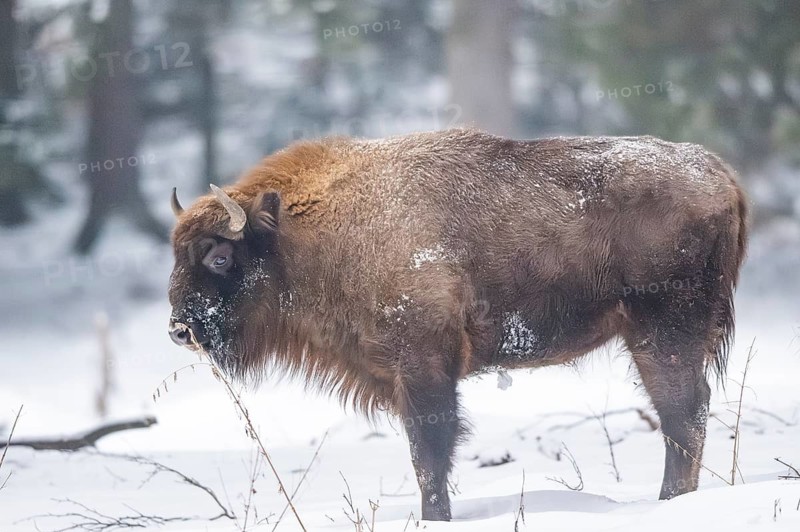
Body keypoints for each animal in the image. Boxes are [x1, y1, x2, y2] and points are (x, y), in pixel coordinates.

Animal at [168, 128, 747, 521]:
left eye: (218, 256)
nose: (179, 330)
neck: (301, 234)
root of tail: (721, 175)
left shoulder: (423, 368)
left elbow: (430, 453)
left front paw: (435, 517)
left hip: (663, 333)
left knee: (682, 413)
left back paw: (669, 502)